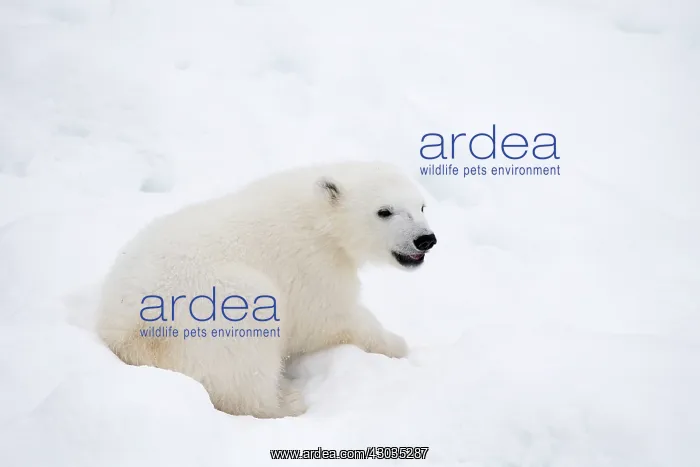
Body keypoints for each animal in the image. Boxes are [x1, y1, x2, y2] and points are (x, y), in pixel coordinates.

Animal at [96, 161, 438, 418]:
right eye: (384, 211)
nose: (425, 239)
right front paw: (397, 344)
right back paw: (287, 401)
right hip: (217, 309)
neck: (318, 218)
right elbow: (331, 317)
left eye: (422, 206)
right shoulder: (311, 263)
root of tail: (131, 335)